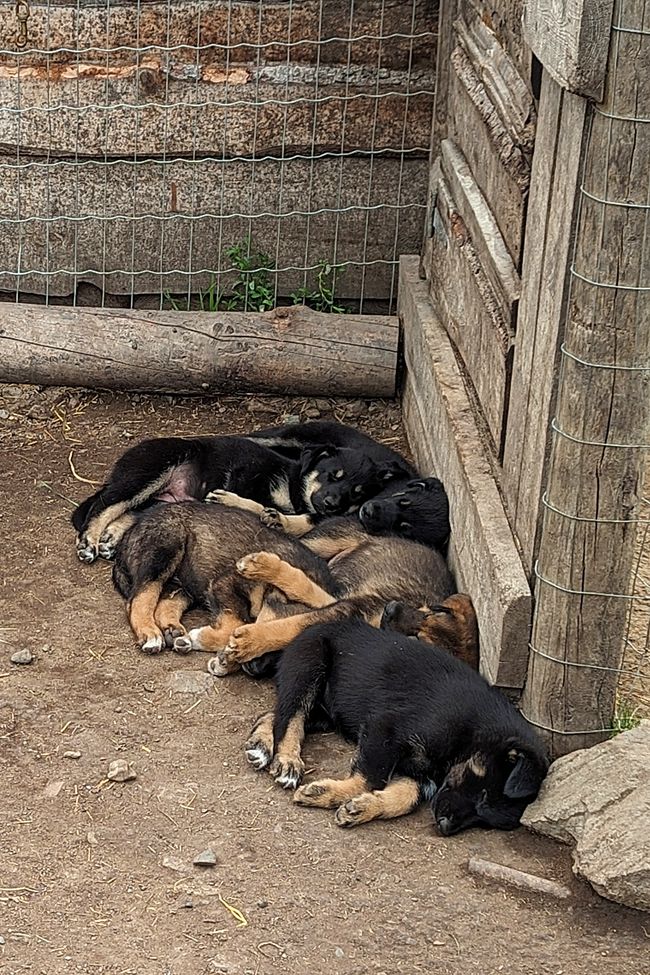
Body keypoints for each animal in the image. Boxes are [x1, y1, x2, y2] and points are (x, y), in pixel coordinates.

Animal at [246, 620, 544, 836]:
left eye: (483, 819)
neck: (473, 733)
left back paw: (262, 743)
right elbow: (371, 777)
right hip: (309, 666)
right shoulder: (384, 728)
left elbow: (405, 798)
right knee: (291, 716)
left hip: (326, 712)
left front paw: (362, 807)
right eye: (483, 797)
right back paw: (287, 760)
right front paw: (327, 793)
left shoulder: (421, 776)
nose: (444, 827)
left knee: (273, 715)